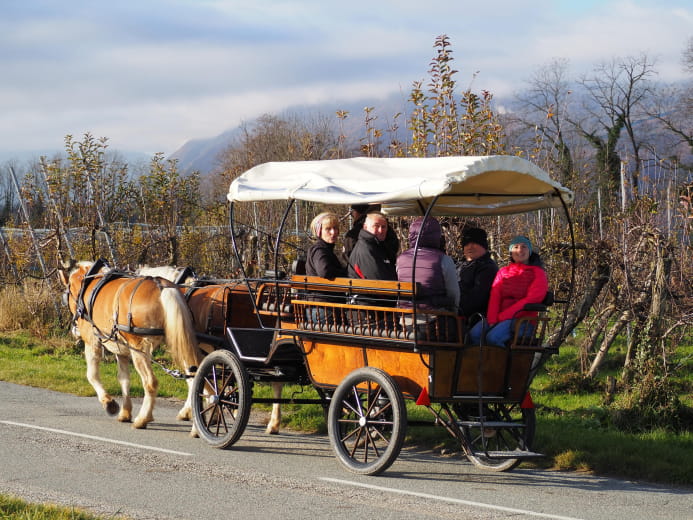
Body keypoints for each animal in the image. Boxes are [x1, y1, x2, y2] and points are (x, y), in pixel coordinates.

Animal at [59, 260, 203, 434]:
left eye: (67, 295)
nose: (74, 330)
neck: (90, 284)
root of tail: (163, 287)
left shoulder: (92, 341)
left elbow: (92, 375)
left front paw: (109, 403)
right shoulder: (121, 350)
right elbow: (124, 379)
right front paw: (125, 412)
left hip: (140, 349)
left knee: (150, 382)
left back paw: (142, 419)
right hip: (178, 341)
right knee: (194, 377)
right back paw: (195, 427)